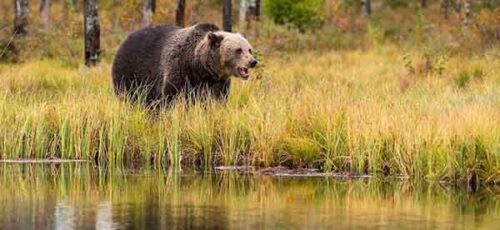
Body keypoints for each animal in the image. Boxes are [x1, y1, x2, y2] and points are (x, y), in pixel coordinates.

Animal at [112, 23, 258, 106]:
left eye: (249, 49)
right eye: (238, 50)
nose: (253, 62)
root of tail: (126, 39)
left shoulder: (218, 83)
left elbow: (218, 100)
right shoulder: (180, 69)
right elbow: (170, 96)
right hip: (131, 72)